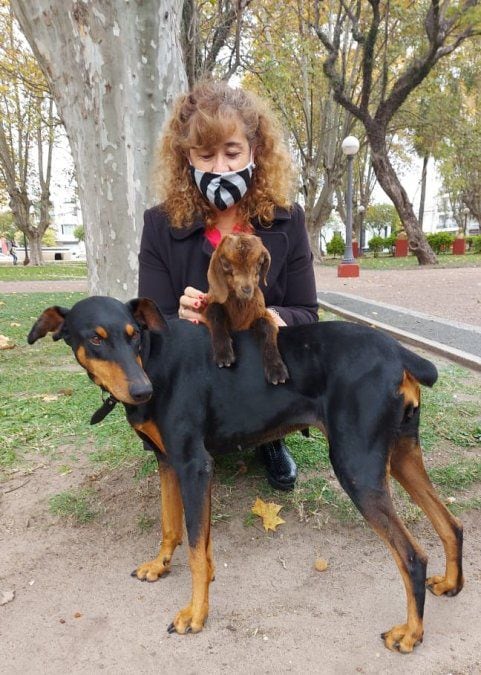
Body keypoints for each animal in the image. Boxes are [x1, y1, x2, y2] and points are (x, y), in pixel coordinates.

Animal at [28, 298, 464, 656]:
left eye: (133, 336)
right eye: (95, 339)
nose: (141, 391)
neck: (153, 358)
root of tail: (398, 351)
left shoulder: (193, 465)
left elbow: (194, 545)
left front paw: (196, 613)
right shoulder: (168, 462)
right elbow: (174, 528)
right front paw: (162, 565)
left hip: (356, 465)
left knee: (412, 556)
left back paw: (411, 633)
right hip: (401, 455)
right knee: (451, 523)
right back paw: (451, 584)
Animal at [203, 234, 288, 386]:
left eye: (260, 263)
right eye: (226, 264)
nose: (247, 289)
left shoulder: (262, 313)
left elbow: (266, 326)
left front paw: (276, 369)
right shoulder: (208, 304)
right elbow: (215, 310)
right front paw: (223, 353)